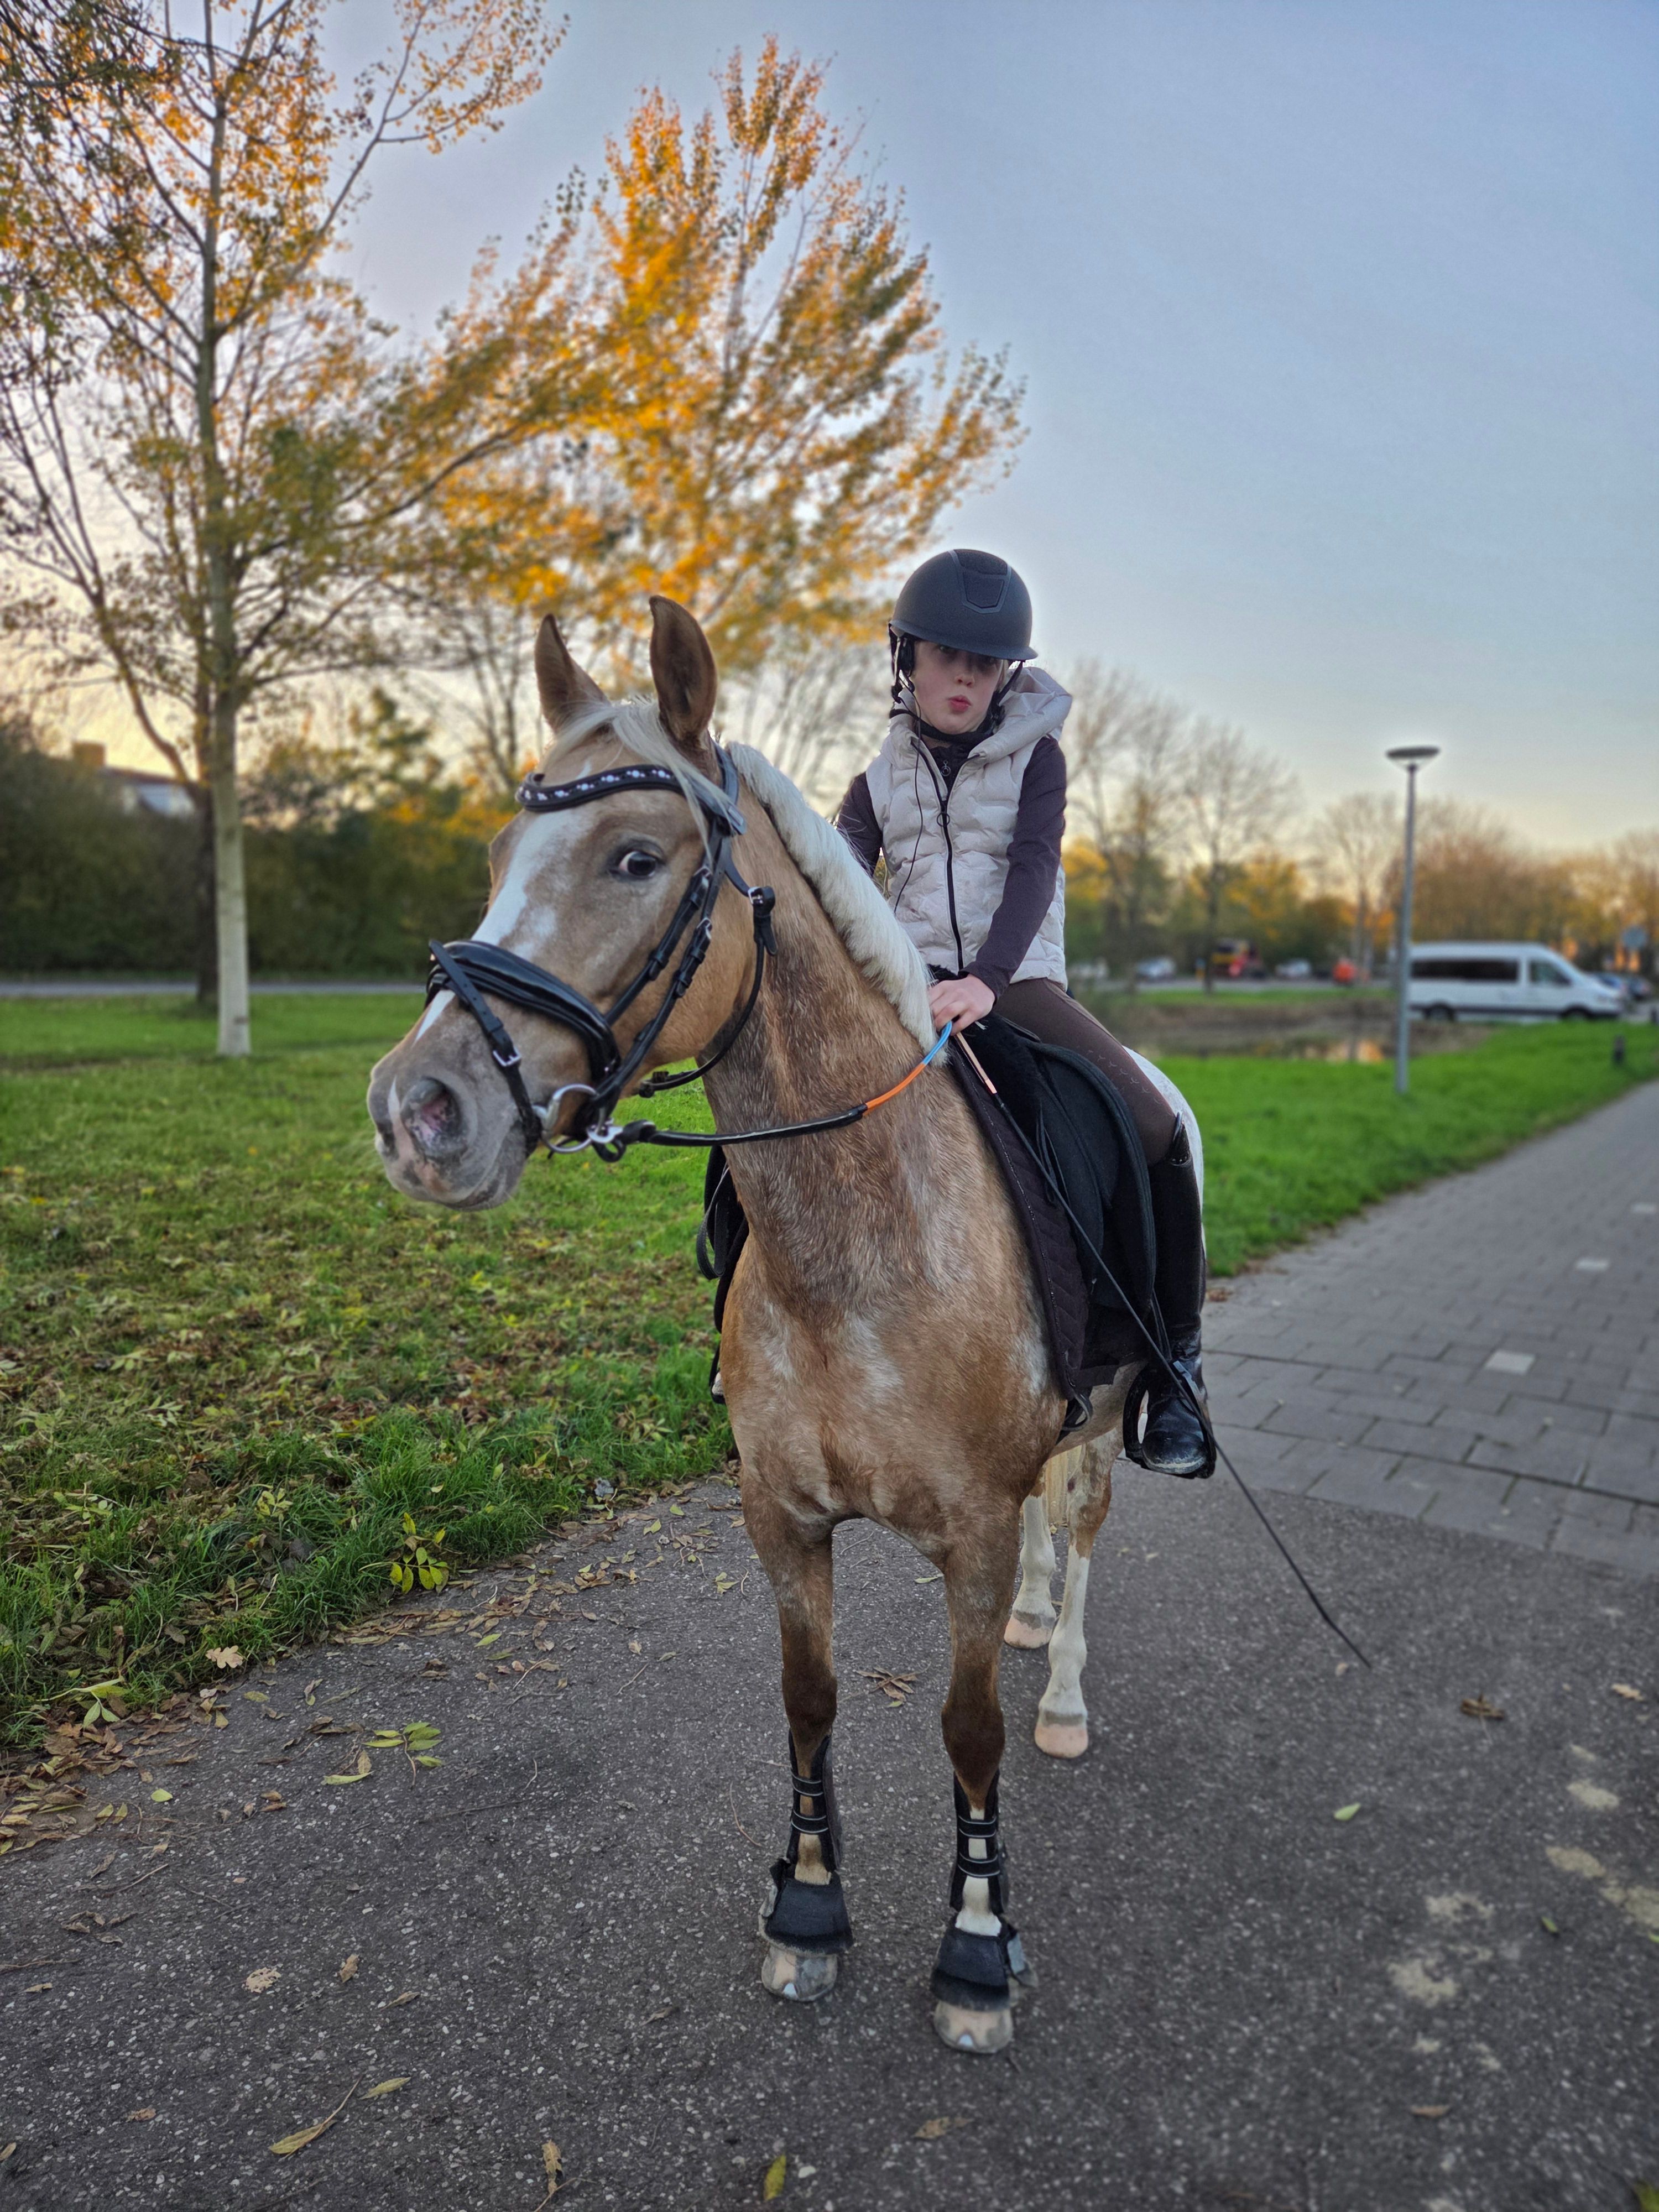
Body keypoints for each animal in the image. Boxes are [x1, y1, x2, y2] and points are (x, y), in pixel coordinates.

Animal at [366, 596, 1205, 2055]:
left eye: (636, 856)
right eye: (496, 853)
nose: (419, 1110)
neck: (855, 1254)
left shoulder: (970, 1534)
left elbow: (969, 1730)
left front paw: (976, 1947)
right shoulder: (783, 1516)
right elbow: (809, 1704)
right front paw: (808, 1907)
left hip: (1109, 1420)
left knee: (1082, 1532)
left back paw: (1063, 1691)